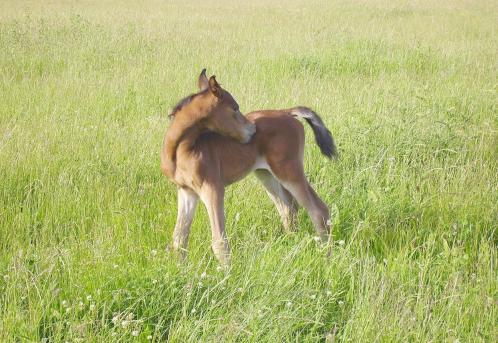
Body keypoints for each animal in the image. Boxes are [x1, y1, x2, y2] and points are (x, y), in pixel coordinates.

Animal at [161, 68, 336, 264]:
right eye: (235, 108)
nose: (252, 130)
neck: (180, 150)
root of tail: (287, 112)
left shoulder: (213, 188)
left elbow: (219, 241)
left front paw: (227, 271)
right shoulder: (186, 191)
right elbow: (179, 238)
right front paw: (181, 269)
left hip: (289, 171)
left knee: (318, 210)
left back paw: (327, 257)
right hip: (266, 173)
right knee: (288, 209)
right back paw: (291, 246)